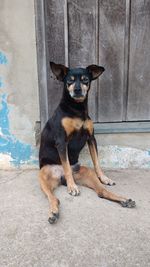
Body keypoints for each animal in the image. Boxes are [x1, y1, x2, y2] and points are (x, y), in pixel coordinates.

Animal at [39, 62, 136, 224]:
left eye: (85, 79)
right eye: (69, 81)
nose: (77, 90)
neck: (77, 109)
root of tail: (60, 178)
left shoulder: (91, 138)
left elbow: (96, 162)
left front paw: (104, 177)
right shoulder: (61, 141)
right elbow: (66, 165)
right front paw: (72, 187)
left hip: (87, 174)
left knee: (101, 192)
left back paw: (124, 200)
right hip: (43, 177)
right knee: (53, 197)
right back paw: (54, 212)